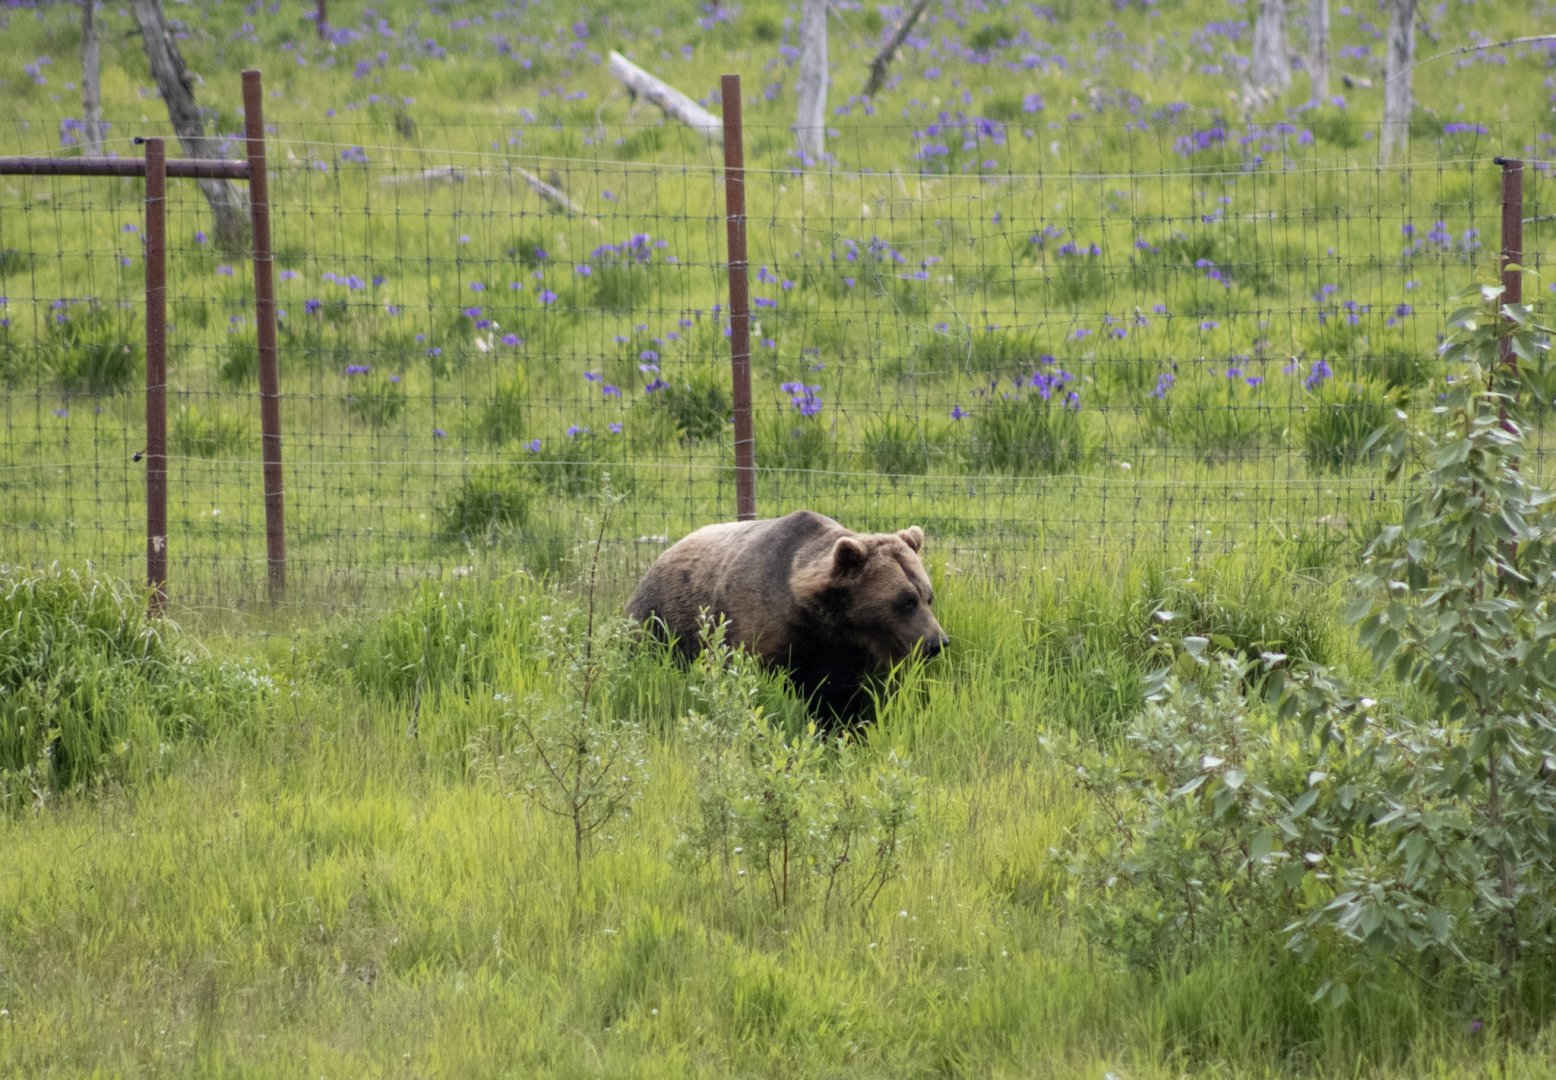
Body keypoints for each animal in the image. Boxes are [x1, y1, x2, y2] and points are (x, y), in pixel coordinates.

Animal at [626, 509, 948, 722]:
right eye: (905, 601)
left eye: (928, 596)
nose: (938, 642)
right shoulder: (762, 627)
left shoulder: (845, 652)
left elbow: (842, 697)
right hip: (660, 620)